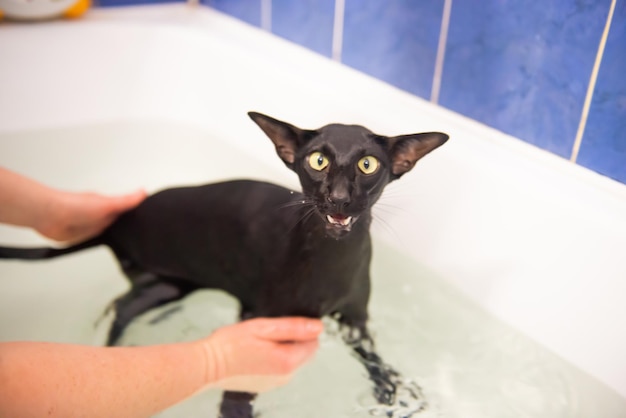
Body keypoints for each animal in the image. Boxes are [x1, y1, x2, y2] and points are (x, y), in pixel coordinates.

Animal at [1, 112, 448, 416]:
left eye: (367, 164)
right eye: (318, 161)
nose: (338, 197)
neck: (332, 258)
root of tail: (118, 221)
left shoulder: (356, 320)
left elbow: (376, 362)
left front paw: (394, 394)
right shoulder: (259, 319)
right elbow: (239, 388)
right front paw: (236, 409)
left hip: (167, 284)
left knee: (128, 301)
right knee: (121, 310)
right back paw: (114, 351)